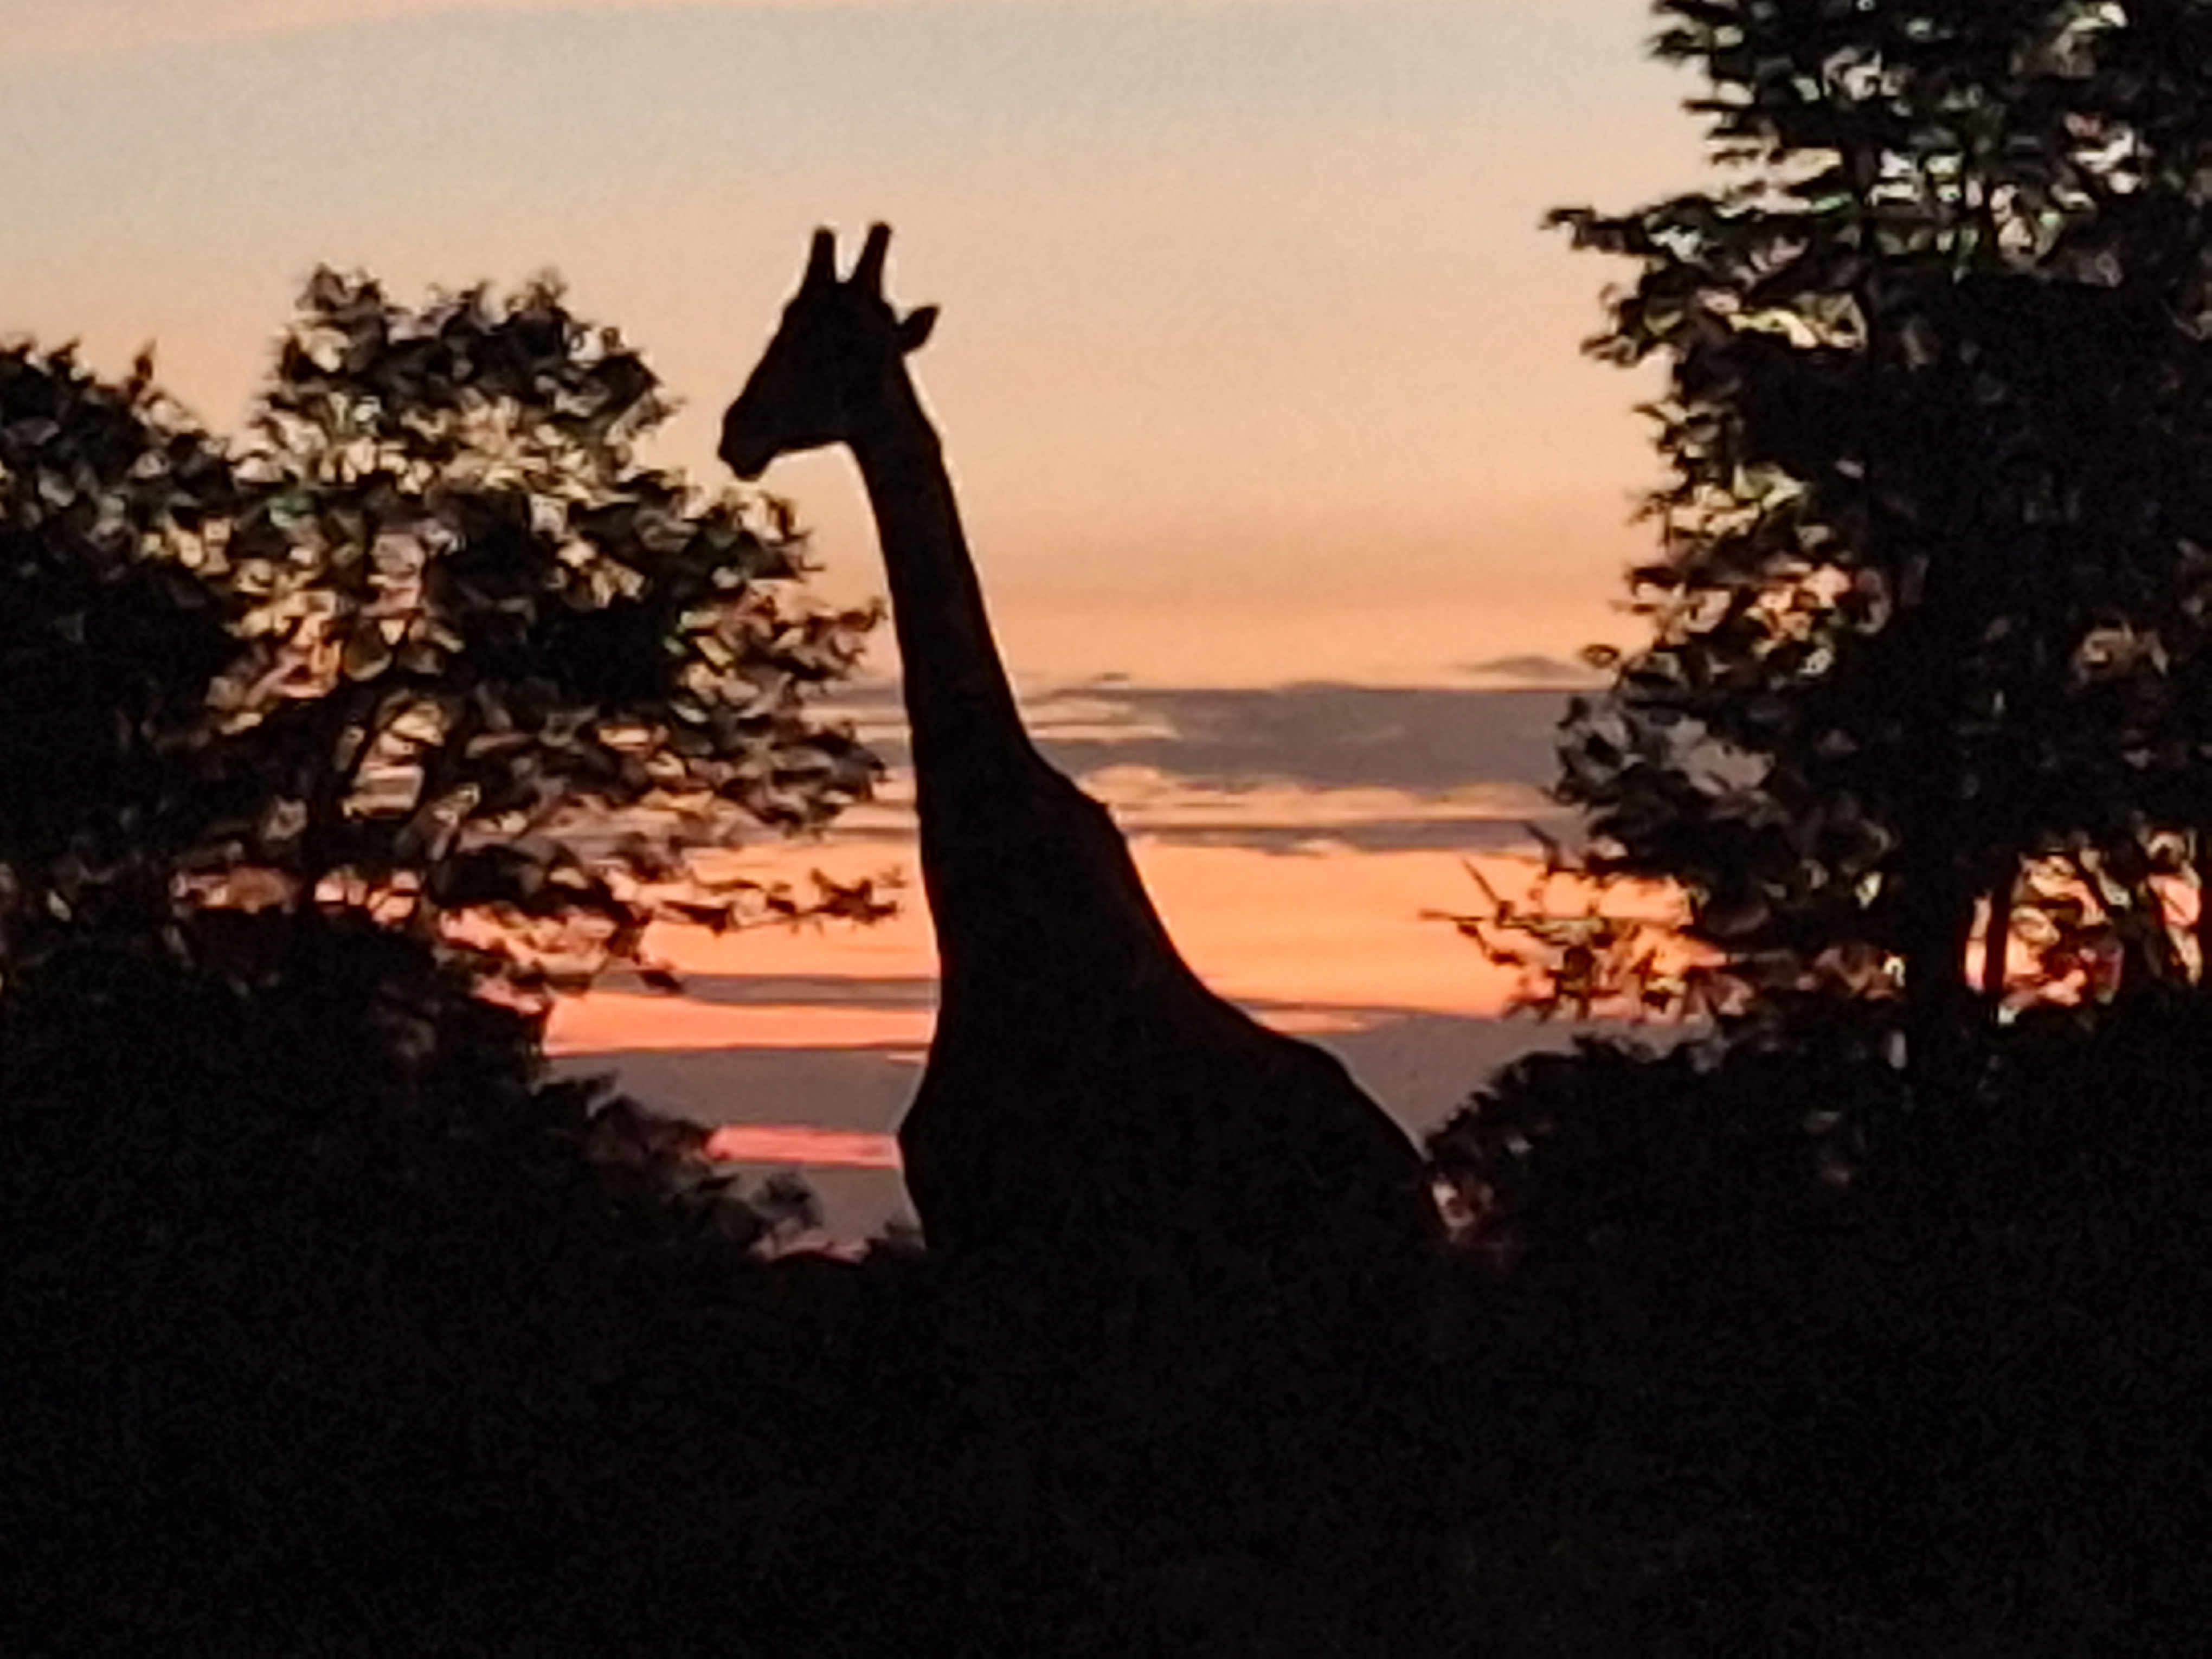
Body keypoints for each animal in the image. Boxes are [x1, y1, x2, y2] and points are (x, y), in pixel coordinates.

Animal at [719, 225, 1440, 1315]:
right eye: (781, 325)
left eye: (837, 347)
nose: (738, 432)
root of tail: (1418, 1200)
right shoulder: (976, 1238)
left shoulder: (1041, 1245)